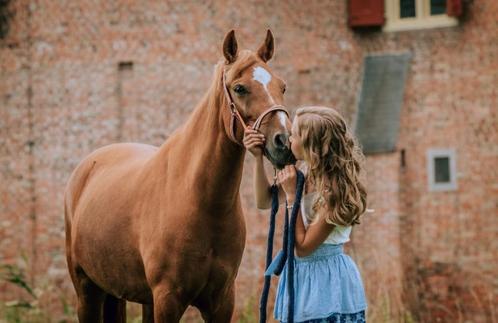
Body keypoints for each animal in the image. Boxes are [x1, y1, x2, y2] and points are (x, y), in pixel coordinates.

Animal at [63, 29, 294, 322]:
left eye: (282, 86)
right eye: (240, 88)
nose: (284, 142)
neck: (199, 200)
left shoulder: (222, 301)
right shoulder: (168, 299)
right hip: (87, 291)